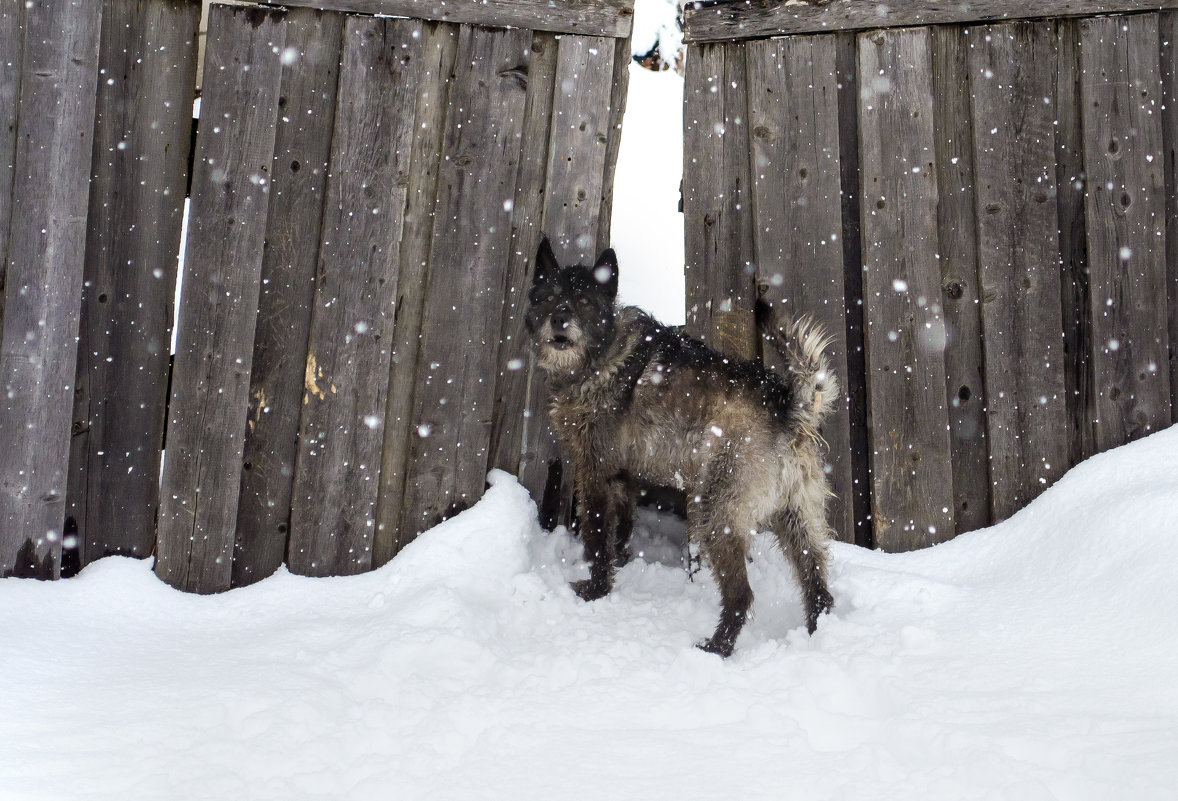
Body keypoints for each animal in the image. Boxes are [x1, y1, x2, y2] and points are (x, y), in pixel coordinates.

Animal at [525, 234, 838, 654]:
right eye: (548, 296)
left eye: (585, 302)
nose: (560, 320)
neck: (602, 354)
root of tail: (787, 405)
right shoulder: (624, 475)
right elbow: (621, 524)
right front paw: (621, 563)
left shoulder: (594, 471)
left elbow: (595, 534)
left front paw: (596, 589)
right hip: (797, 517)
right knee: (817, 586)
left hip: (715, 514)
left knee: (741, 594)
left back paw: (717, 648)